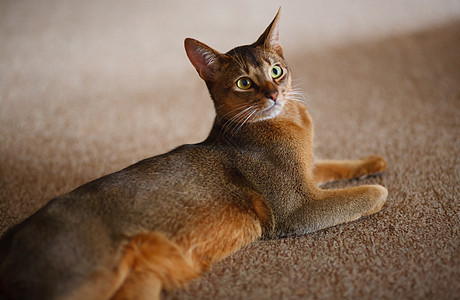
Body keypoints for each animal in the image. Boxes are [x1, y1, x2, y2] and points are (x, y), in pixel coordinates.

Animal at [0, 8, 388, 300]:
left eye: (276, 71)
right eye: (244, 83)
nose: (274, 94)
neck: (289, 121)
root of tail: (13, 234)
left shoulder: (308, 171)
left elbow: (334, 164)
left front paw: (374, 160)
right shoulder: (297, 208)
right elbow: (371, 193)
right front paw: (380, 186)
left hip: (140, 282)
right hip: (82, 278)